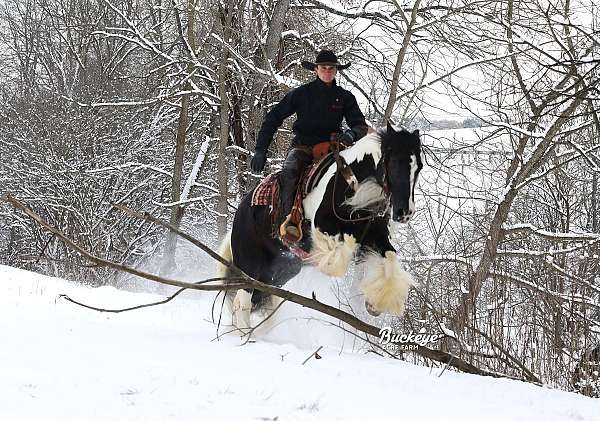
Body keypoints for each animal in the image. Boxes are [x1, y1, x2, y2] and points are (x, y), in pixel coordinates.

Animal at [217, 122, 422, 328]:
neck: (350, 184)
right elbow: (338, 257)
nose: (405, 212)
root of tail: (241, 212)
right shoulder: (322, 228)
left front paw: (377, 302)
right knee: (242, 301)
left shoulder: (375, 236)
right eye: (395, 163)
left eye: (419, 167)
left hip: (281, 272)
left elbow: (390, 257)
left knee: (260, 297)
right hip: (249, 265)